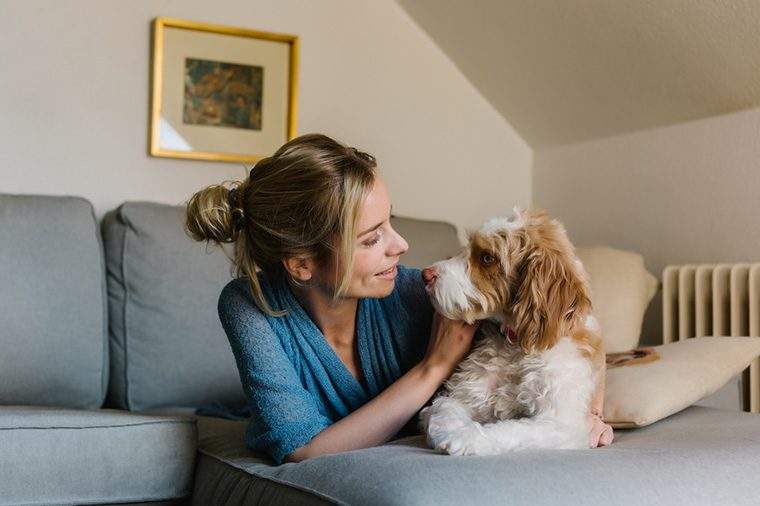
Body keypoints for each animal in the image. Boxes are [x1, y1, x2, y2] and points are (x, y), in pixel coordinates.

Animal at [418, 206, 608, 454]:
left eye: (487, 258)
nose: (425, 274)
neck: (517, 345)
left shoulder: (561, 423)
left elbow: (512, 430)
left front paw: (467, 438)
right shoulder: (459, 396)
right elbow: (443, 413)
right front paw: (452, 433)